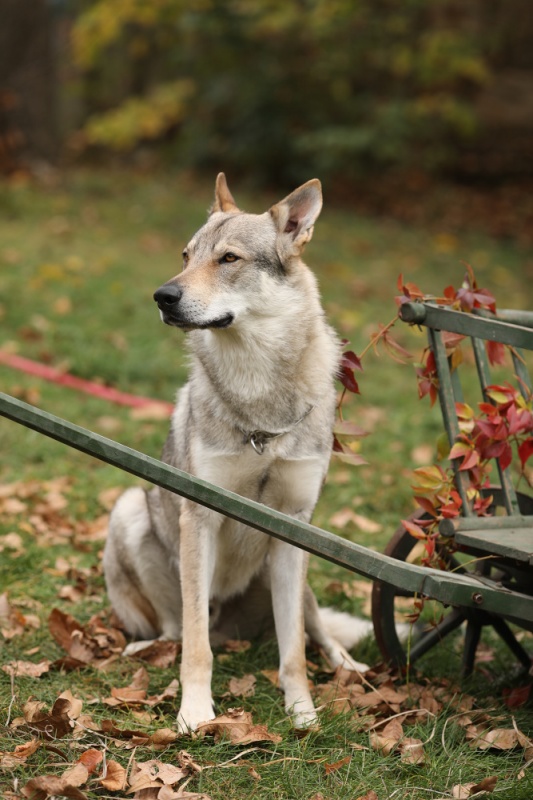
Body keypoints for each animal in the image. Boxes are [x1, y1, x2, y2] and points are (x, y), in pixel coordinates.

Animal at [103, 173, 370, 732]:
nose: (163, 295)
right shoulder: (200, 517)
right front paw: (195, 713)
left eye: (228, 258)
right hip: (131, 513)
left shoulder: (293, 528)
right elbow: (196, 648)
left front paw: (303, 715)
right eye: (186, 256)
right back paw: (143, 649)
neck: (260, 410)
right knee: (175, 632)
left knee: (318, 630)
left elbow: (293, 652)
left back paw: (350, 667)